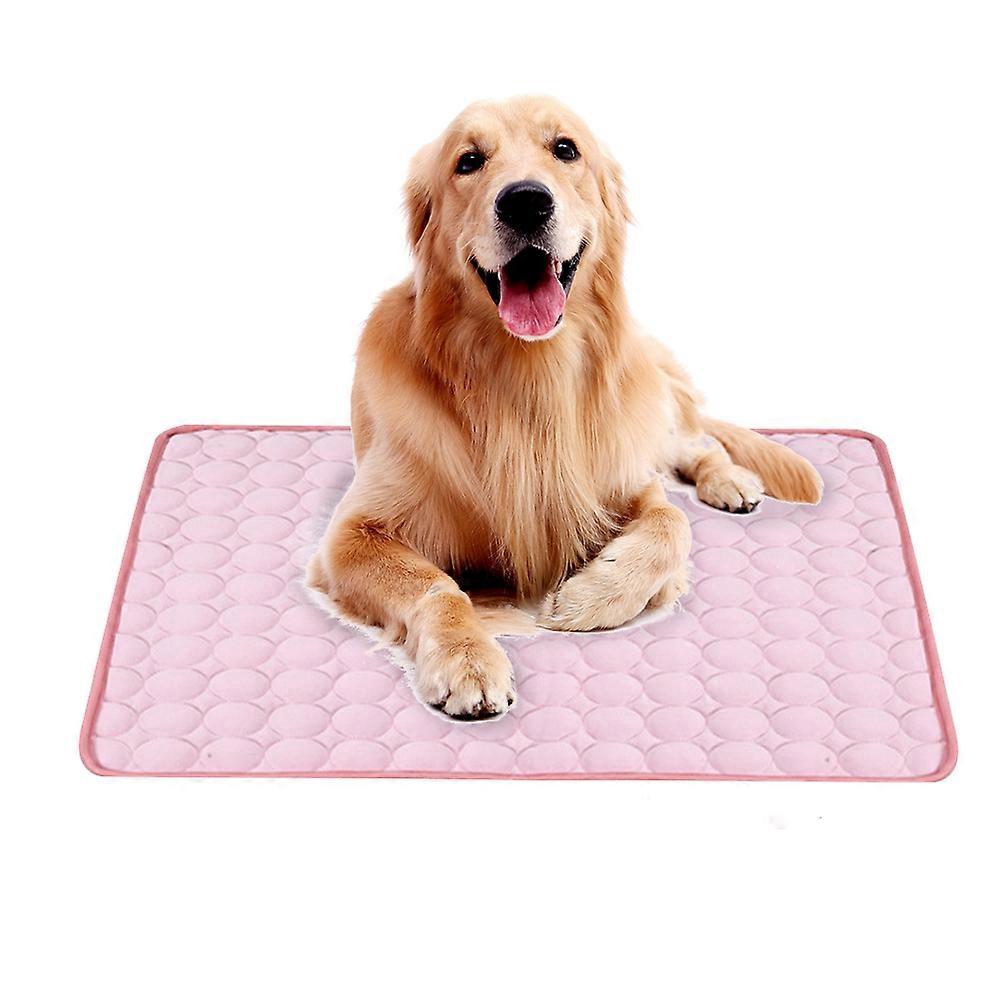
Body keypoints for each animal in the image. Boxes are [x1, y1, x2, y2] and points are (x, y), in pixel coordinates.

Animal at [307, 96, 822, 720]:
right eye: (468, 161)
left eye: (565, 149)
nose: (526, 201)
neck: (529, 378)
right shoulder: (352, 536)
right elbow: (434, 586)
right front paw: (466, 658)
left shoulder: (627, 479)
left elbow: (670, 525)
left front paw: (586, 596)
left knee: (698, 447)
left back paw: (730, 482)